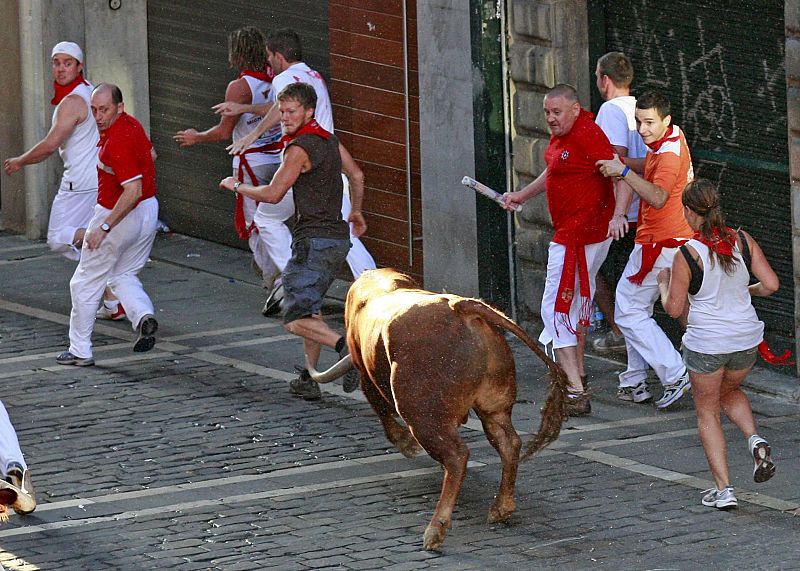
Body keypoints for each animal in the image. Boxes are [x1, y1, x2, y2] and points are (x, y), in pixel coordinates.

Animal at [306, 270, 568, 552]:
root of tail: (461, 307)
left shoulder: (366, 376)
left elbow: (381, 410)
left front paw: (406, 444)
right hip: (495, 406)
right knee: (509, 443)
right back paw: (501, 508)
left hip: (423, 415)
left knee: (457, 456)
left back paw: (435, 530)